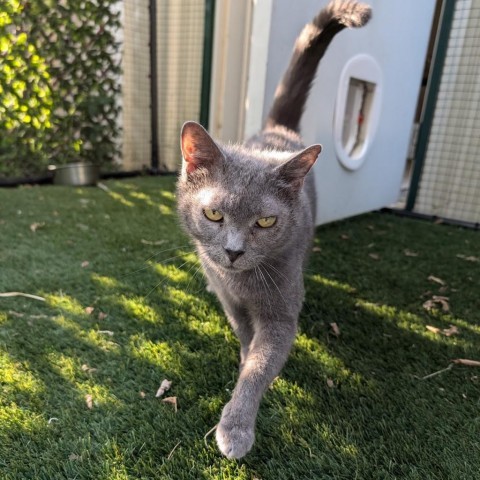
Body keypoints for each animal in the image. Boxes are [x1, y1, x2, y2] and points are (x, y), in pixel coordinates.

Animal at [176, 0, 372, 458]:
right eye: (214, 215)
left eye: (265, 222)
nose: (232, 251)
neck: (243, 283)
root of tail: (276, 131)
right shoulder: (229, 300)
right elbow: (247, 339)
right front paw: (244, 358)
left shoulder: (281, 314)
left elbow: (261, 365)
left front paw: (235, 425)